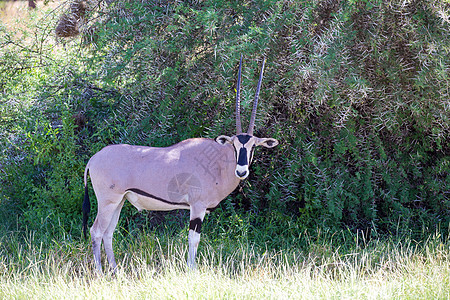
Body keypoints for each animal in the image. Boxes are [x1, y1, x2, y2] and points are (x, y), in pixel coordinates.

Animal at [81, 56, 278, 272]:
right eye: (234, 145)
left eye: (253, 146)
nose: (241, 171)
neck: (218, 163)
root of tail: (93, 159)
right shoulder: (197, 206)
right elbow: (193, 239)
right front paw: (192, 270)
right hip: (107, 201)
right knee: (96, 231)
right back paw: (100, 273)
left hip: (119, 201)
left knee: (108, 233)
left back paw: (116, 271)